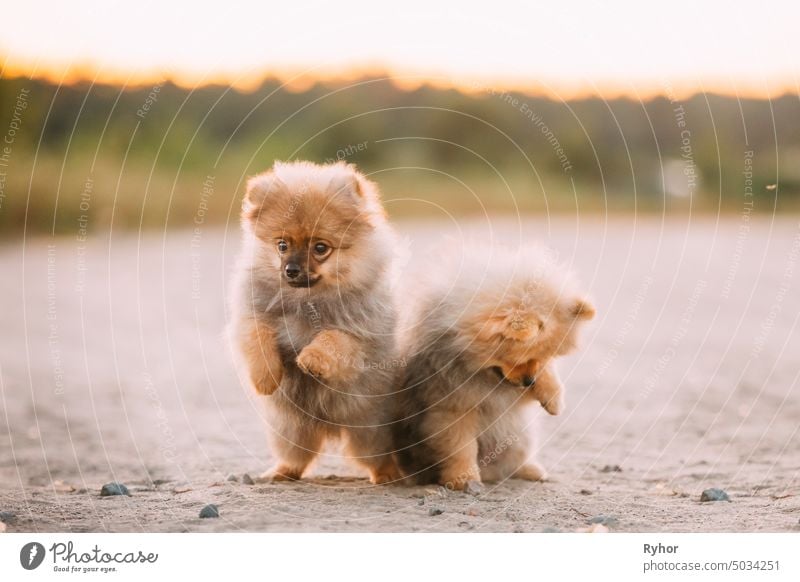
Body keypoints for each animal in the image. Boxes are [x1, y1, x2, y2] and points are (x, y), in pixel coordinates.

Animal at [228, 160, 404, 484]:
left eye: (320, 248)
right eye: (282, 245)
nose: (291, 270)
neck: (306, 300)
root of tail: (331, 426)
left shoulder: (361, 336)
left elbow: (334, 337)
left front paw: (311, 359)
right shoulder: (250, 317)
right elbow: (257, 339)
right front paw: (265, 378)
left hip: (369, 430)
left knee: (376, 457)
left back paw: (388, 476)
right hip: (289, 427)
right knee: (297, 454)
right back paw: (281, 473)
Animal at [394, 244, 592, 490]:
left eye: (543, 356)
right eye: (519, 360)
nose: (529, 381)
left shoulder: (510, 394)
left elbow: (546, 377)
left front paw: (553, 398)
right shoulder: (452, 407)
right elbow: (461, 447)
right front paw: (465, 479)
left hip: (520, 436)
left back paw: (530, 470)